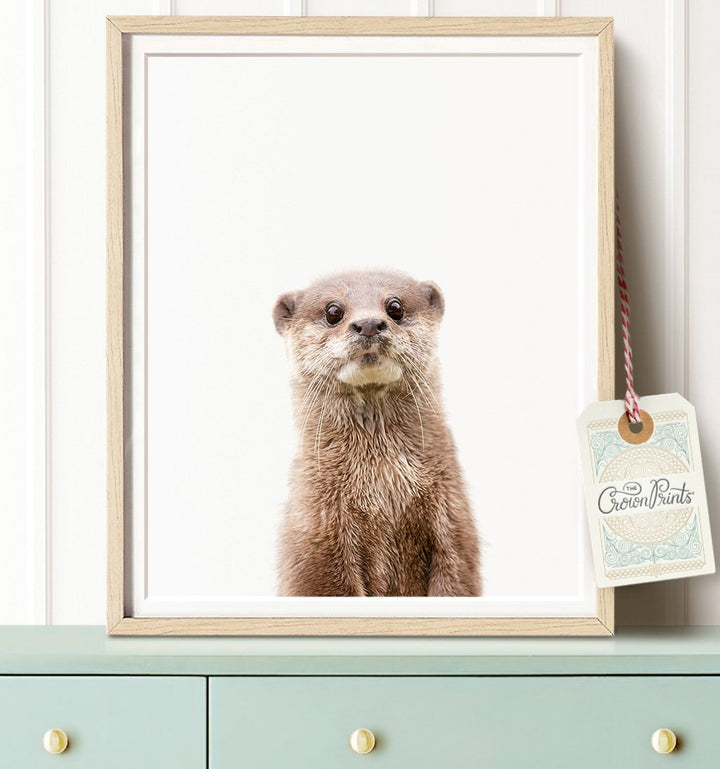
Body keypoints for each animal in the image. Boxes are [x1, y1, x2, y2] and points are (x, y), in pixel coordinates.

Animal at [272, 269, 481, 597]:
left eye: (395, 307)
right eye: (333, 311)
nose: (369, 323)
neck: (382, 489)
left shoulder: (454, 521)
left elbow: (456, 577)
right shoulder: (315, 536)